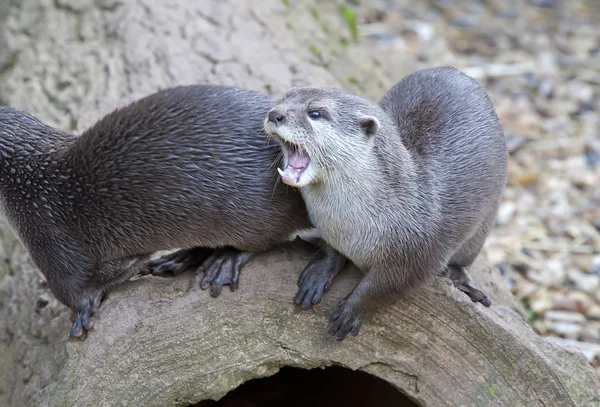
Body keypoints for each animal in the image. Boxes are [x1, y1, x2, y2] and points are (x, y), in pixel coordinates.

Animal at [0, 86, 344, 342]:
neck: (35, 182)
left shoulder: (48, 234)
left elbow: (76, 291)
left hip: (250, 214)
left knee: (269, 240)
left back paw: (224, 262)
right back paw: (178, 260)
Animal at [266, 67, 506, 342]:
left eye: (315, 113)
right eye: (285, 97)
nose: (275, 113)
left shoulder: (418, 256)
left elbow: (386, 286)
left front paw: (353, 309)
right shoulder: (330, 229)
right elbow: (332, 251)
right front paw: (319, 273)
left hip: (483, 226)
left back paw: (462, 282)